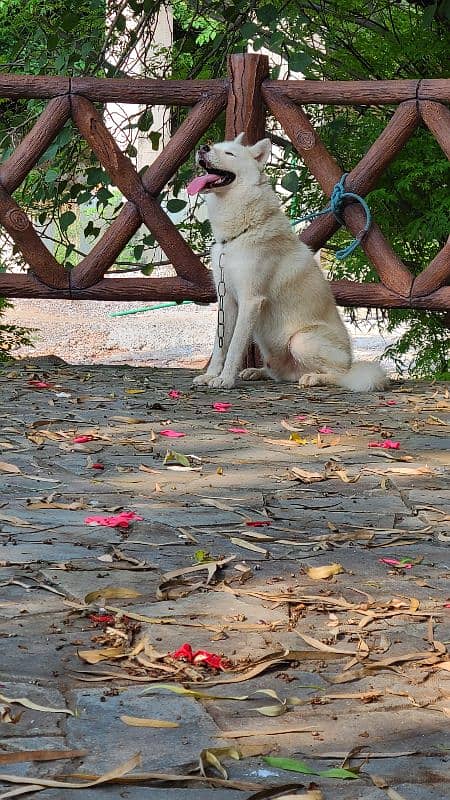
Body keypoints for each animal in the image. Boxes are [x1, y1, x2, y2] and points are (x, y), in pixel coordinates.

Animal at [188, 134, 388, 390]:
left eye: (230, 154)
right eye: (215, 147)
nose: (203, 147)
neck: (236, 235)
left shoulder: (250, 300)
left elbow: (234, 347)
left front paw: (225, 379)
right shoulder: (227, 301)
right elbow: (220, 345)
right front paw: (211, 375)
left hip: (301, 340)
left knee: (341, 375)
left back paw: (314, 377)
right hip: (274, 356)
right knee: (281, 374)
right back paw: (257, 372)